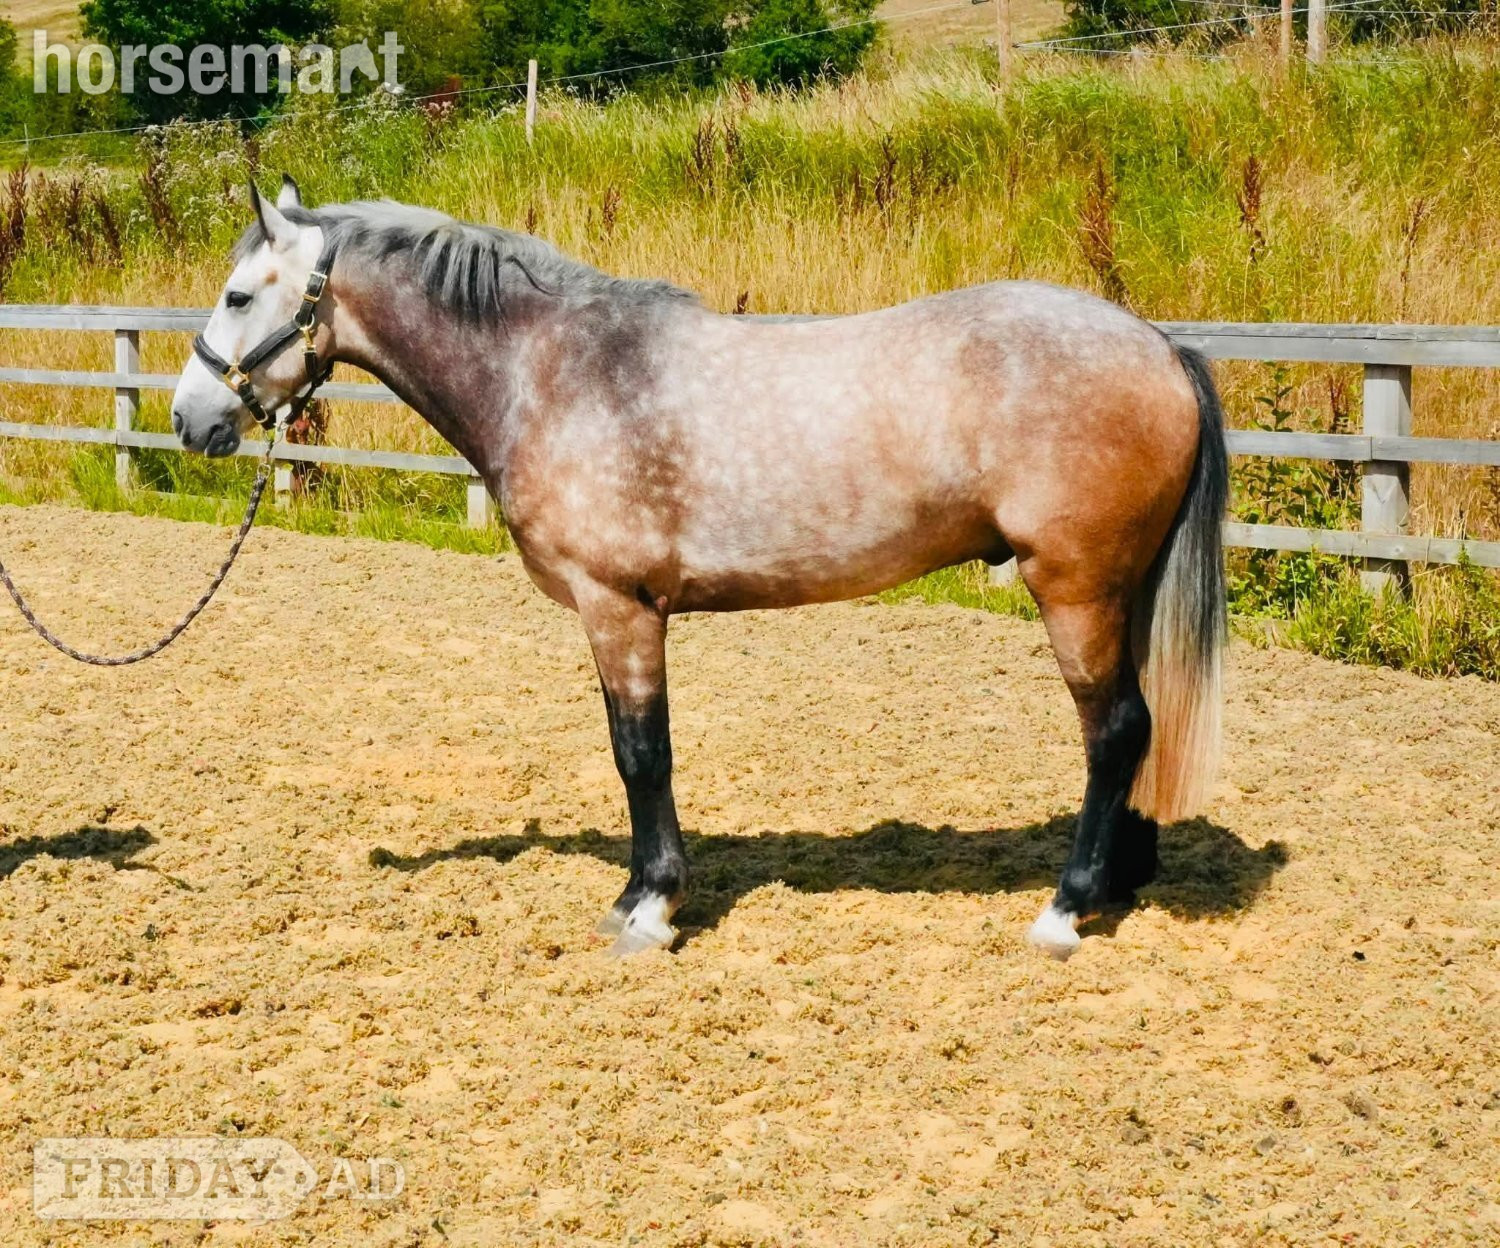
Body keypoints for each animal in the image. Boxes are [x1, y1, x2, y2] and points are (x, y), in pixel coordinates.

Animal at [169, 177, 1228, 960]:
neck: (553, 370)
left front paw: (651, 909)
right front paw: (637, 894)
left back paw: (1064, 910)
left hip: (1075, 590)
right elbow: (631, 749)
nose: (189, 419)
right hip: (1118, 593)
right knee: (1136, 729)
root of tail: (1159, 345)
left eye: (237, 295)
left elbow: (643, 753)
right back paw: (1119, 882)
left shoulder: (620, 608)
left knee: (1114, 732)